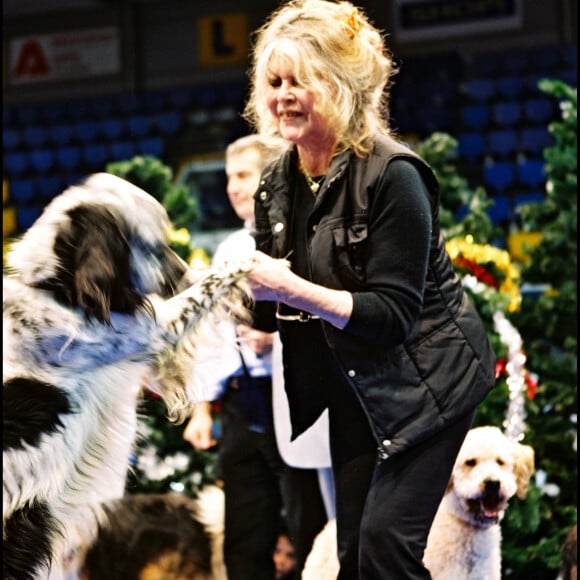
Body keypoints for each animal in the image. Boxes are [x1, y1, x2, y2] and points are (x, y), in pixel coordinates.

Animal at [2, 173, 251, 580]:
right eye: (154, 245)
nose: (184, 271)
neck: (57, 287)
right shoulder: (154, 330)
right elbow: (211, 283)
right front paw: (247, 261)